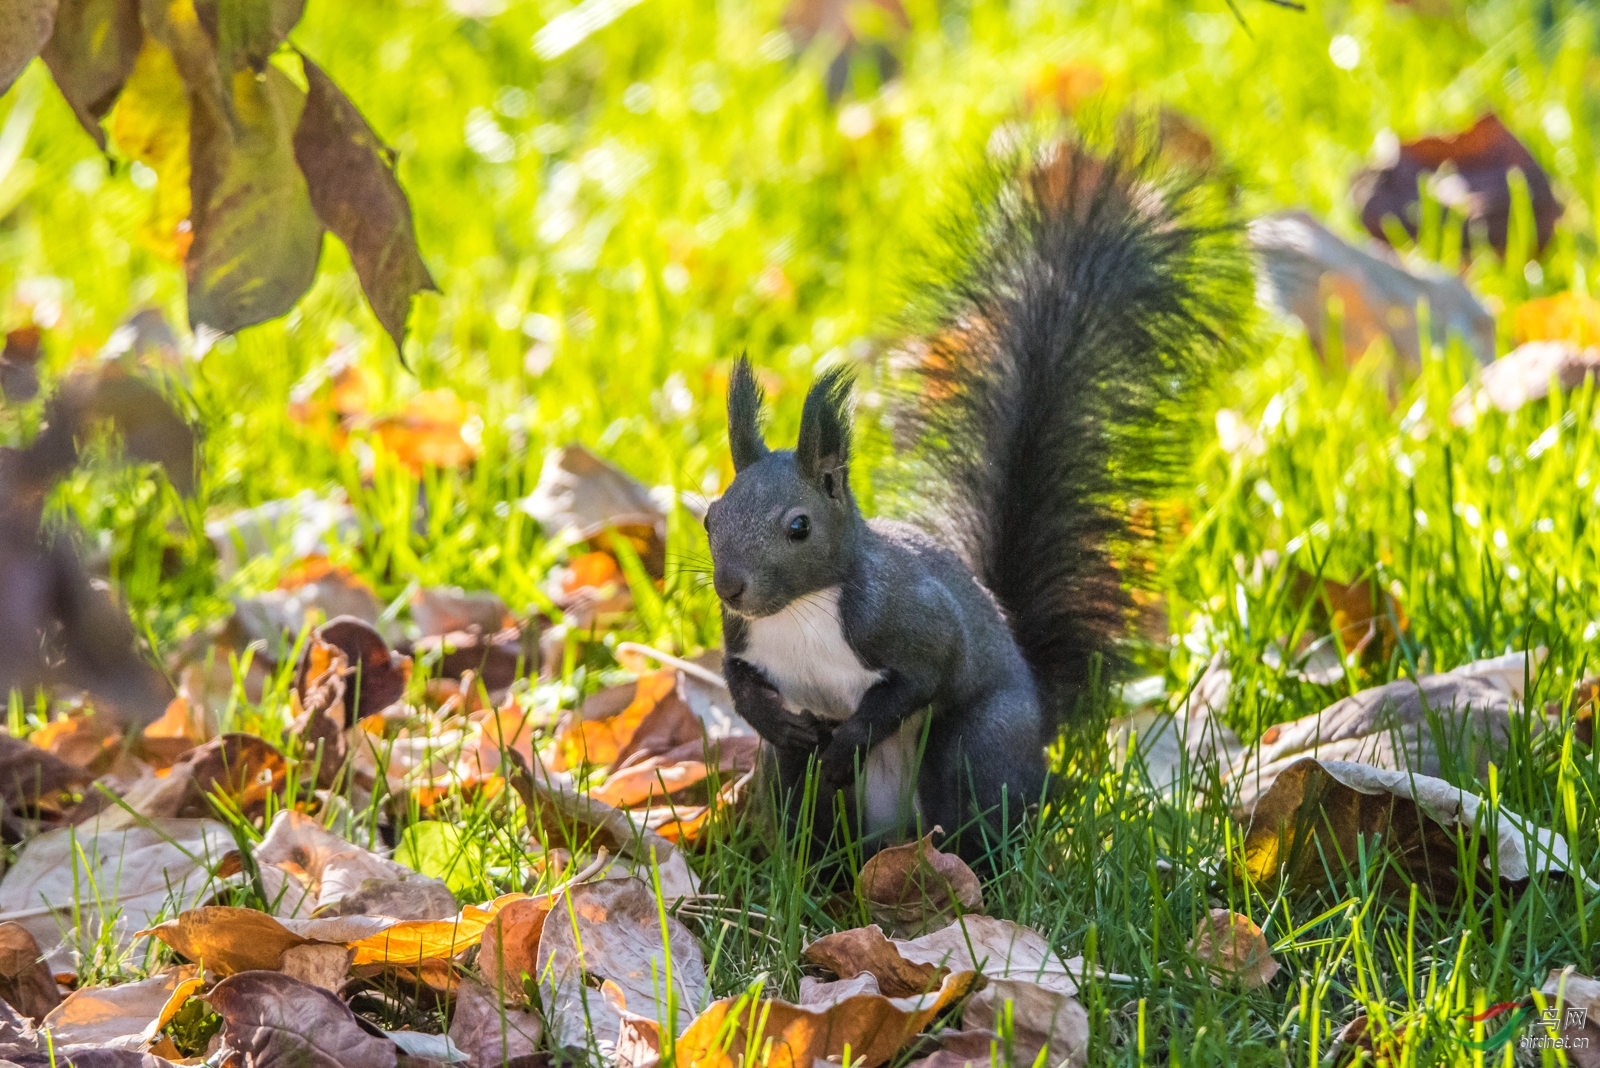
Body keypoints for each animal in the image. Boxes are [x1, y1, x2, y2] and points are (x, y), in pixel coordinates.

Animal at [704, 139, 1248, 856]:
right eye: (710, 517)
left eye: (799, 527)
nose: (730, 587)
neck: (800, 613)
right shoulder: (744, 640)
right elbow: (738, 681)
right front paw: (777, 719)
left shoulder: (909, 621)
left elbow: (919, 679)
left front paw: (850, 739)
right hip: (799, 787)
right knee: (801, 790)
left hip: (975, 747)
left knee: (975, 804)